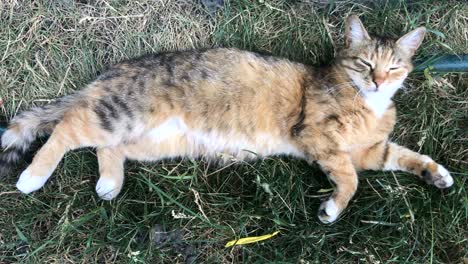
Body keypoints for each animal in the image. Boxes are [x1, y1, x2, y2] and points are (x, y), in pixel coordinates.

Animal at [0, 16, 454, 223]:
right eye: (364, 64)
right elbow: (351, 179)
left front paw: (436, 175)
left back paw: (109, 182)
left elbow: (402, 156)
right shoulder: (317, 137)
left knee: (106, 147)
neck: (367, 105)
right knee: (67, 127)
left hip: (150, 141)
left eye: (394, 68)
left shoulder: (369, 150)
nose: (378, 81)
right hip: (121, 114)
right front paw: (332, 207)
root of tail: (110, 73)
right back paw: (32, 177)